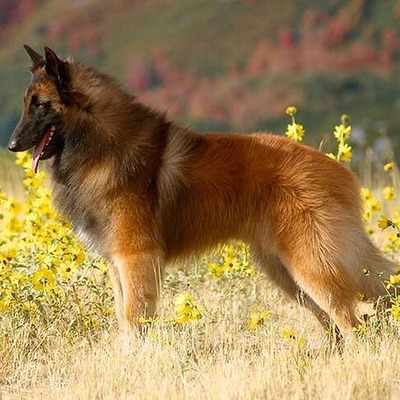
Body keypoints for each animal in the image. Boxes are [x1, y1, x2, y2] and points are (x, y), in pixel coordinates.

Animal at [7, 46, 396, 340]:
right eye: (27, 102)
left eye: (40, 104)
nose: (11, 145)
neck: (100, 141)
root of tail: (340, 171)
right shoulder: (117, 263)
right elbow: (123, 317)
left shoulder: (136, 259)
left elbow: (133, 319)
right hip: (288, 272)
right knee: (343, 318)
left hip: (312, 268)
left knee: (351, 321)